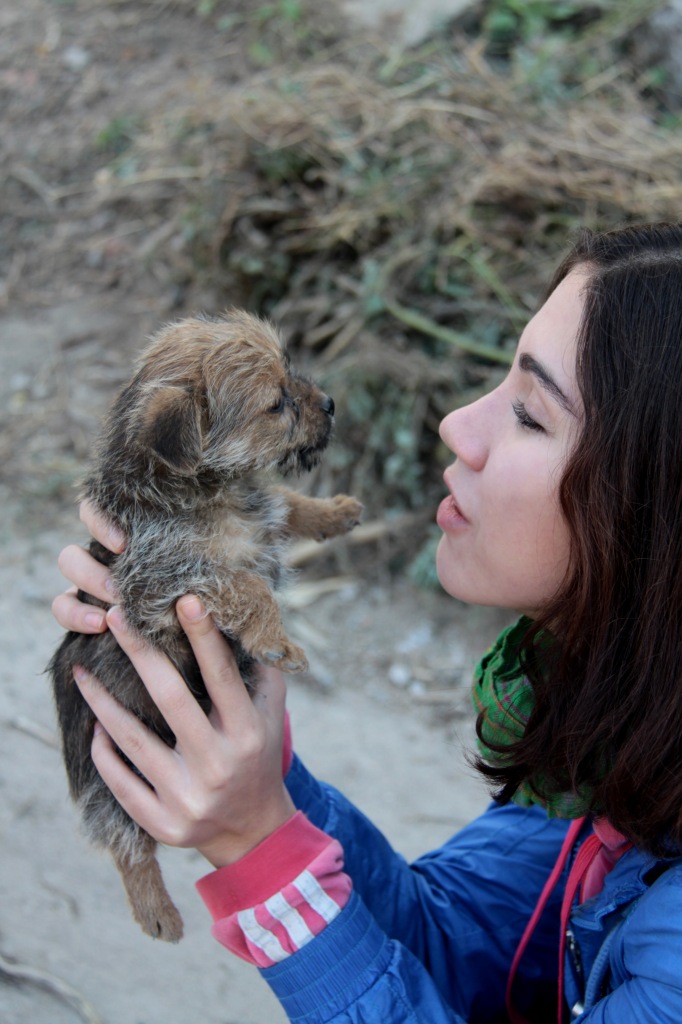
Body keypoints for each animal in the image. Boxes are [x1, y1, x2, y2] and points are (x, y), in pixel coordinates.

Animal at [48, 311, 363, 942]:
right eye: (276, 403)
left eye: (292, 373)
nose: (331, 403)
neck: (210, 490)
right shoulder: (161, 587)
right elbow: (244, 585)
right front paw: (278, 639)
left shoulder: (257, 516)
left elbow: (285, 502)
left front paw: (334, 512)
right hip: (106, 779)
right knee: (126, 843)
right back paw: (157, 912)